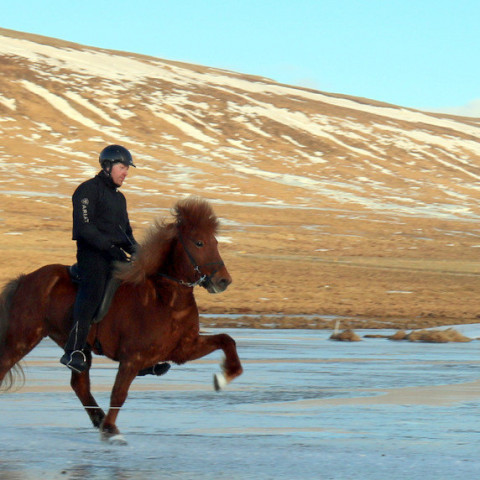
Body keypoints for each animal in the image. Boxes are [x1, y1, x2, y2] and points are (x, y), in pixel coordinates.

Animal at [0, 197, 244, 444]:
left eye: (215, 241)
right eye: (199, 243)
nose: (223, 281)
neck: (166, 300)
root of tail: (25, 279)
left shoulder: (183, 349)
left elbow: (227, 340)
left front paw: (223, 377)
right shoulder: (132, 358)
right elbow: (119, 393)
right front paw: (111, 430)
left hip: (79, 348)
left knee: (79, 384)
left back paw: (98, 418)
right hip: (23, 338)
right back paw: (102, 422)